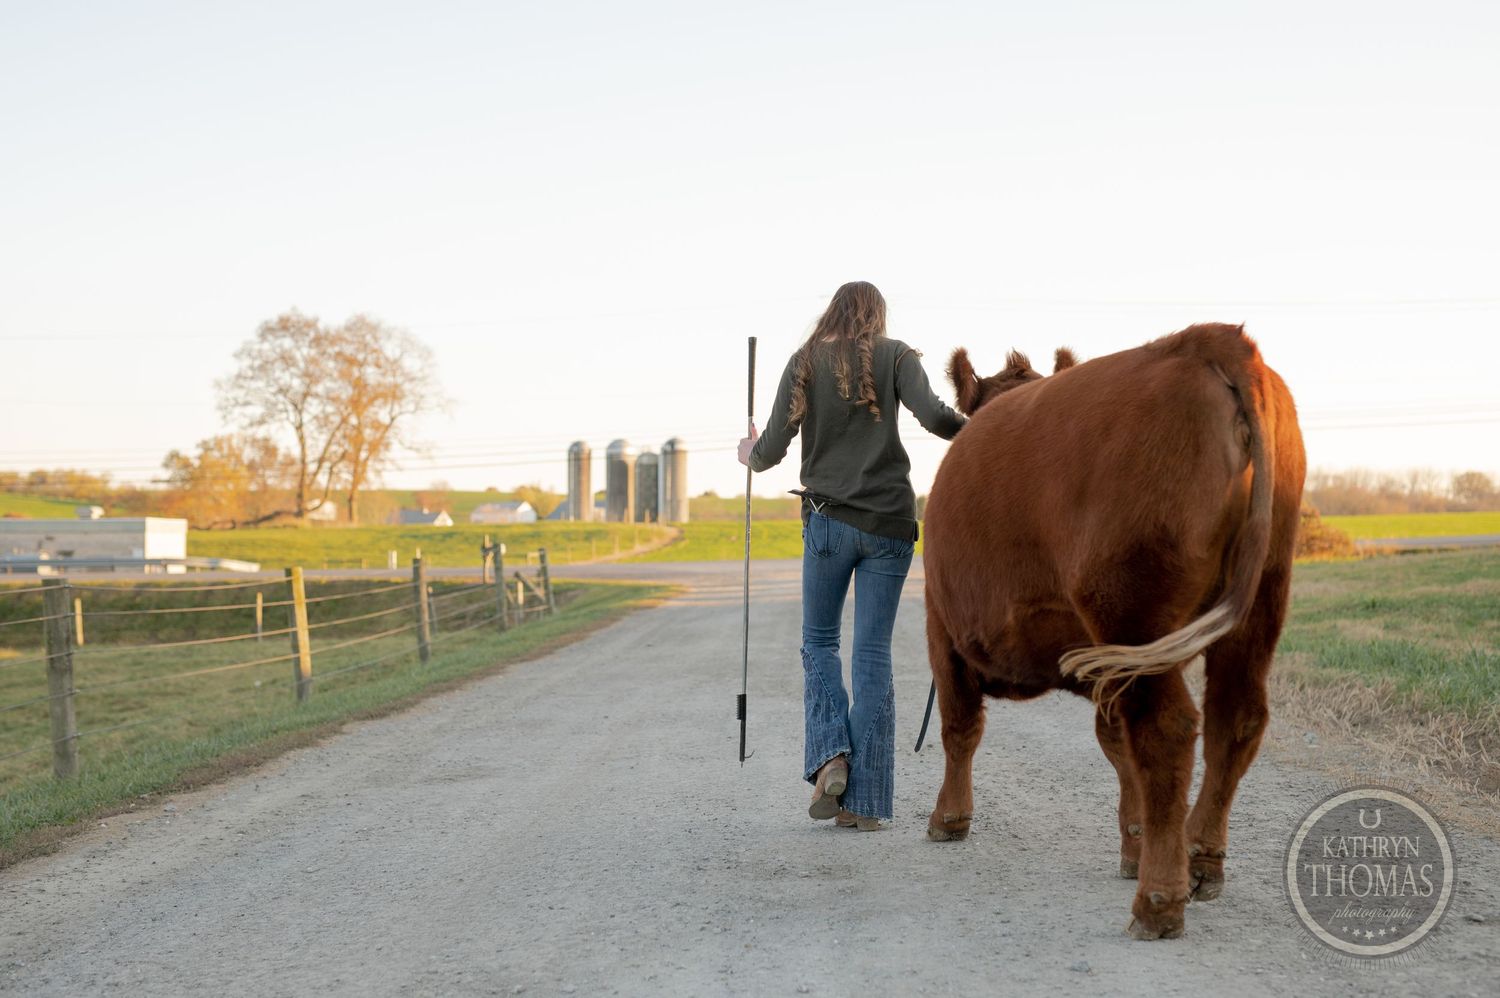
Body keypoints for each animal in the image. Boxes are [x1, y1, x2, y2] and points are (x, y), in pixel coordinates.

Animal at [921, 323, 1306, 940]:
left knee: (1168, 729)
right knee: (1236, 719)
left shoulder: (942, 626)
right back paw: (1200, 859)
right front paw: (1134, 845)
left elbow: (959, 726)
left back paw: (1159, 900)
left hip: (1133, 609)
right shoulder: (1101, 658)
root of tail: (1213, 340)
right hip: (1258, 603)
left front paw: (949, 817)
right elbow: (1116, 745)